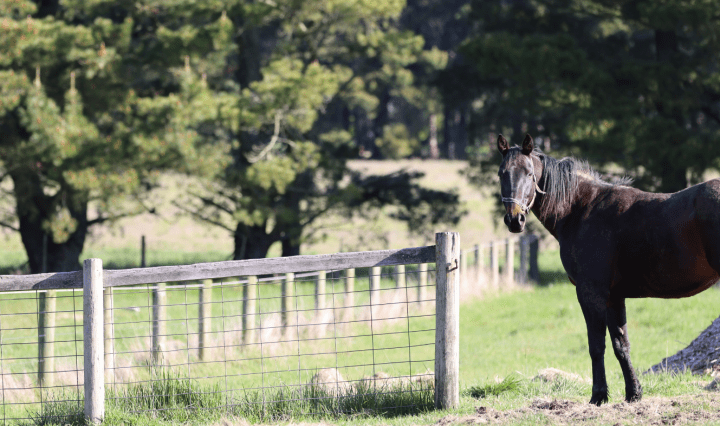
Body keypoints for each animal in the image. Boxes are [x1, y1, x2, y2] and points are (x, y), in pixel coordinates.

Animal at [496, 133, 720, 405]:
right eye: (501, 173)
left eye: (529, 173)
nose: (514, 219)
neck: (580, 209)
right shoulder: (614, 296)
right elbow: (621, 345)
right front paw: (633, 393)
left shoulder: (590, 292)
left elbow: (596, 345)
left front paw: (598, 395)